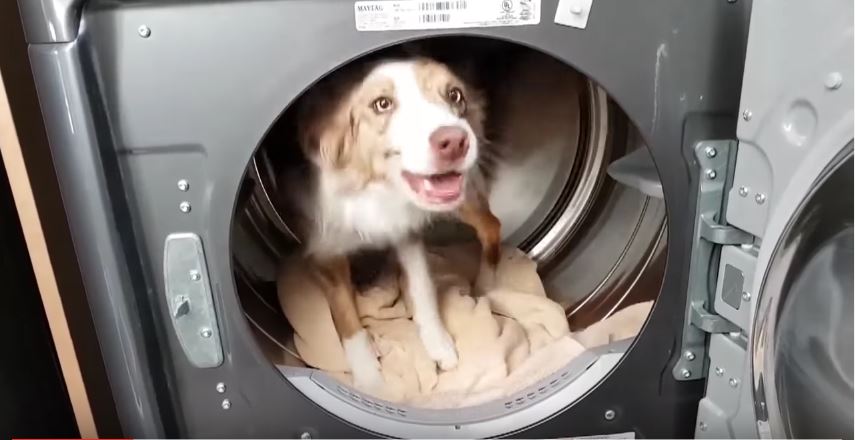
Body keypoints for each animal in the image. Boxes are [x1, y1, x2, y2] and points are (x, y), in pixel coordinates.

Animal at [280, 56, 502, 390]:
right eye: (382, 104)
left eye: (454, 95)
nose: (454, 141)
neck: (375, 189)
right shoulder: (326, 250)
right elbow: (346, 317)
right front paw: (369, 379)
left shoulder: (407, 231)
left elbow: (422, 289)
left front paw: (438, 342)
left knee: (491, 226)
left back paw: (485, 285)